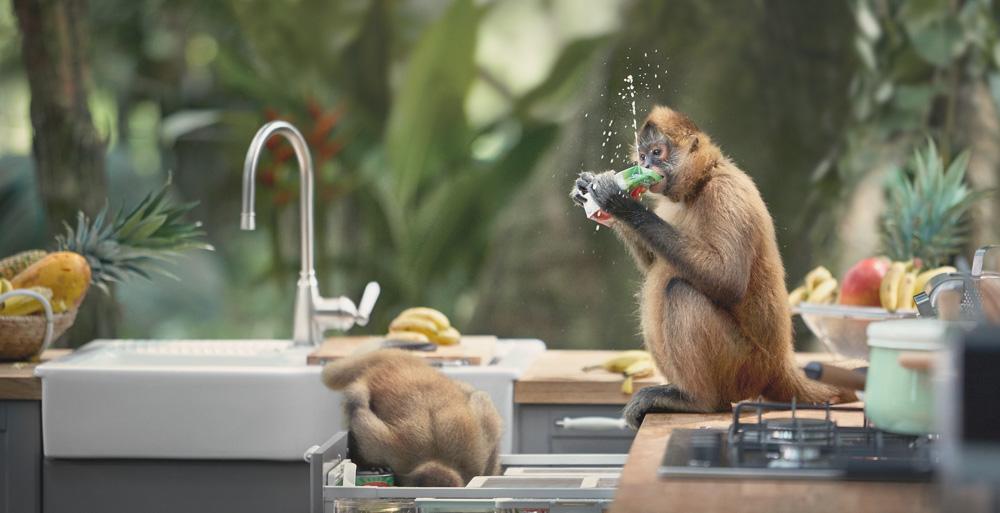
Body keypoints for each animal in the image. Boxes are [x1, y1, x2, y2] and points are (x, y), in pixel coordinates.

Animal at [321, 349, 502, 487]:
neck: (437, 458)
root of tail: (398, 361)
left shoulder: (477, 461)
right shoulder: (384, 449)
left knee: (480, 397)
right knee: (356, 400)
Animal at [571, 105, 840, 429]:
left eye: (657, 152)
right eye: (643, 155)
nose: (645, 164)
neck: (699, 185)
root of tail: (779, 363)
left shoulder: (724, 192)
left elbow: (728, 281)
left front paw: (618, 200)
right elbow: (653, 263)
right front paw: (589, 189)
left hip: (744, 364)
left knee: (679, 290)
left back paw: (698, 400)